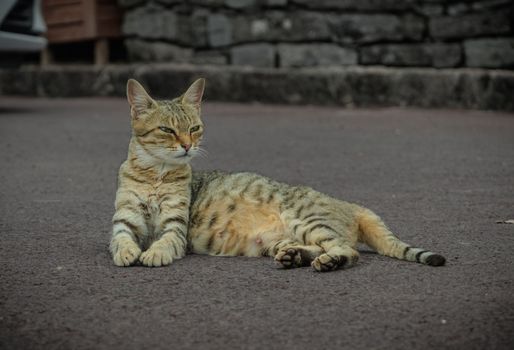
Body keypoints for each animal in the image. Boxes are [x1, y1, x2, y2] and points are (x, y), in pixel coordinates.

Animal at [109, 78, 444, 270]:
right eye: (167, 130)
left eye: (194, 128)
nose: (188, 145)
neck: (155, 174)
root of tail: (350, 205)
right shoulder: (125, 220)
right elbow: (121, 239)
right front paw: (127, 253)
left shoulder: (174, 227)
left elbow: (164, 241)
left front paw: (153, 253)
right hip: (284, 239)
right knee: (314, 247)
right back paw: (295, 257)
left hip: (305, 219)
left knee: (348, 250)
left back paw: (329, 262)